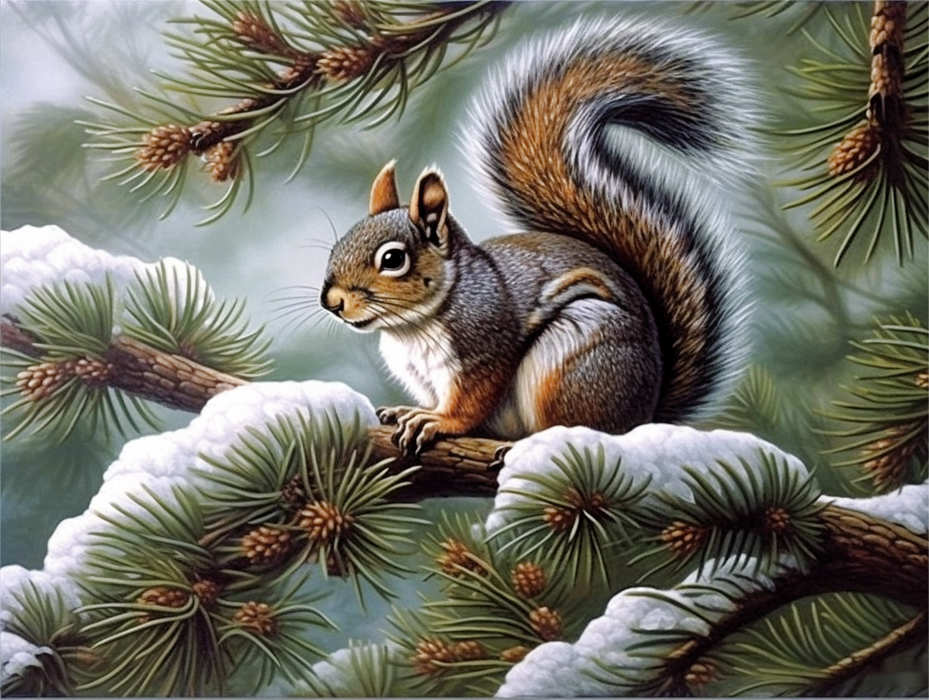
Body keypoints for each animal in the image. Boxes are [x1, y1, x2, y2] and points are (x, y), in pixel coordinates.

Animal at [320, 16, 756, 454]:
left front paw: (438, 420)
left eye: (393, 259)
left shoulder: (485, 350)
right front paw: (406, 411)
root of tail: (643, 416)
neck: (412, 326)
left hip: (574, 358)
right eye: (337, 246)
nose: (332, 302)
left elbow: (470, 403)